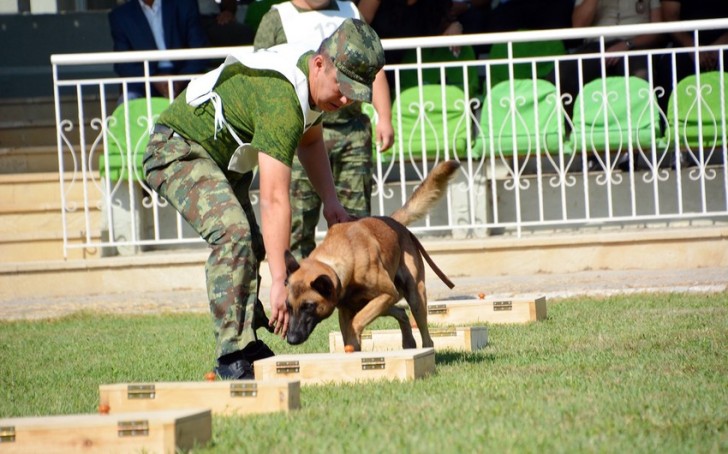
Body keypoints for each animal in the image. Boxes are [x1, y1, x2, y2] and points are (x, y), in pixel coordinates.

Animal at [282, 160, 458, 352]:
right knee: (401, 312)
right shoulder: (346, 309)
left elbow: (356, 323)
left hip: (413, 296)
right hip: (376, 301)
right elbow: (349, 334)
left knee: (424, 332)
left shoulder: (386, 294)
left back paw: (425, 347)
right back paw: (408, 342)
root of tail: (393, 222)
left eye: (308, 306)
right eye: (288, 306)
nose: (291, 339)